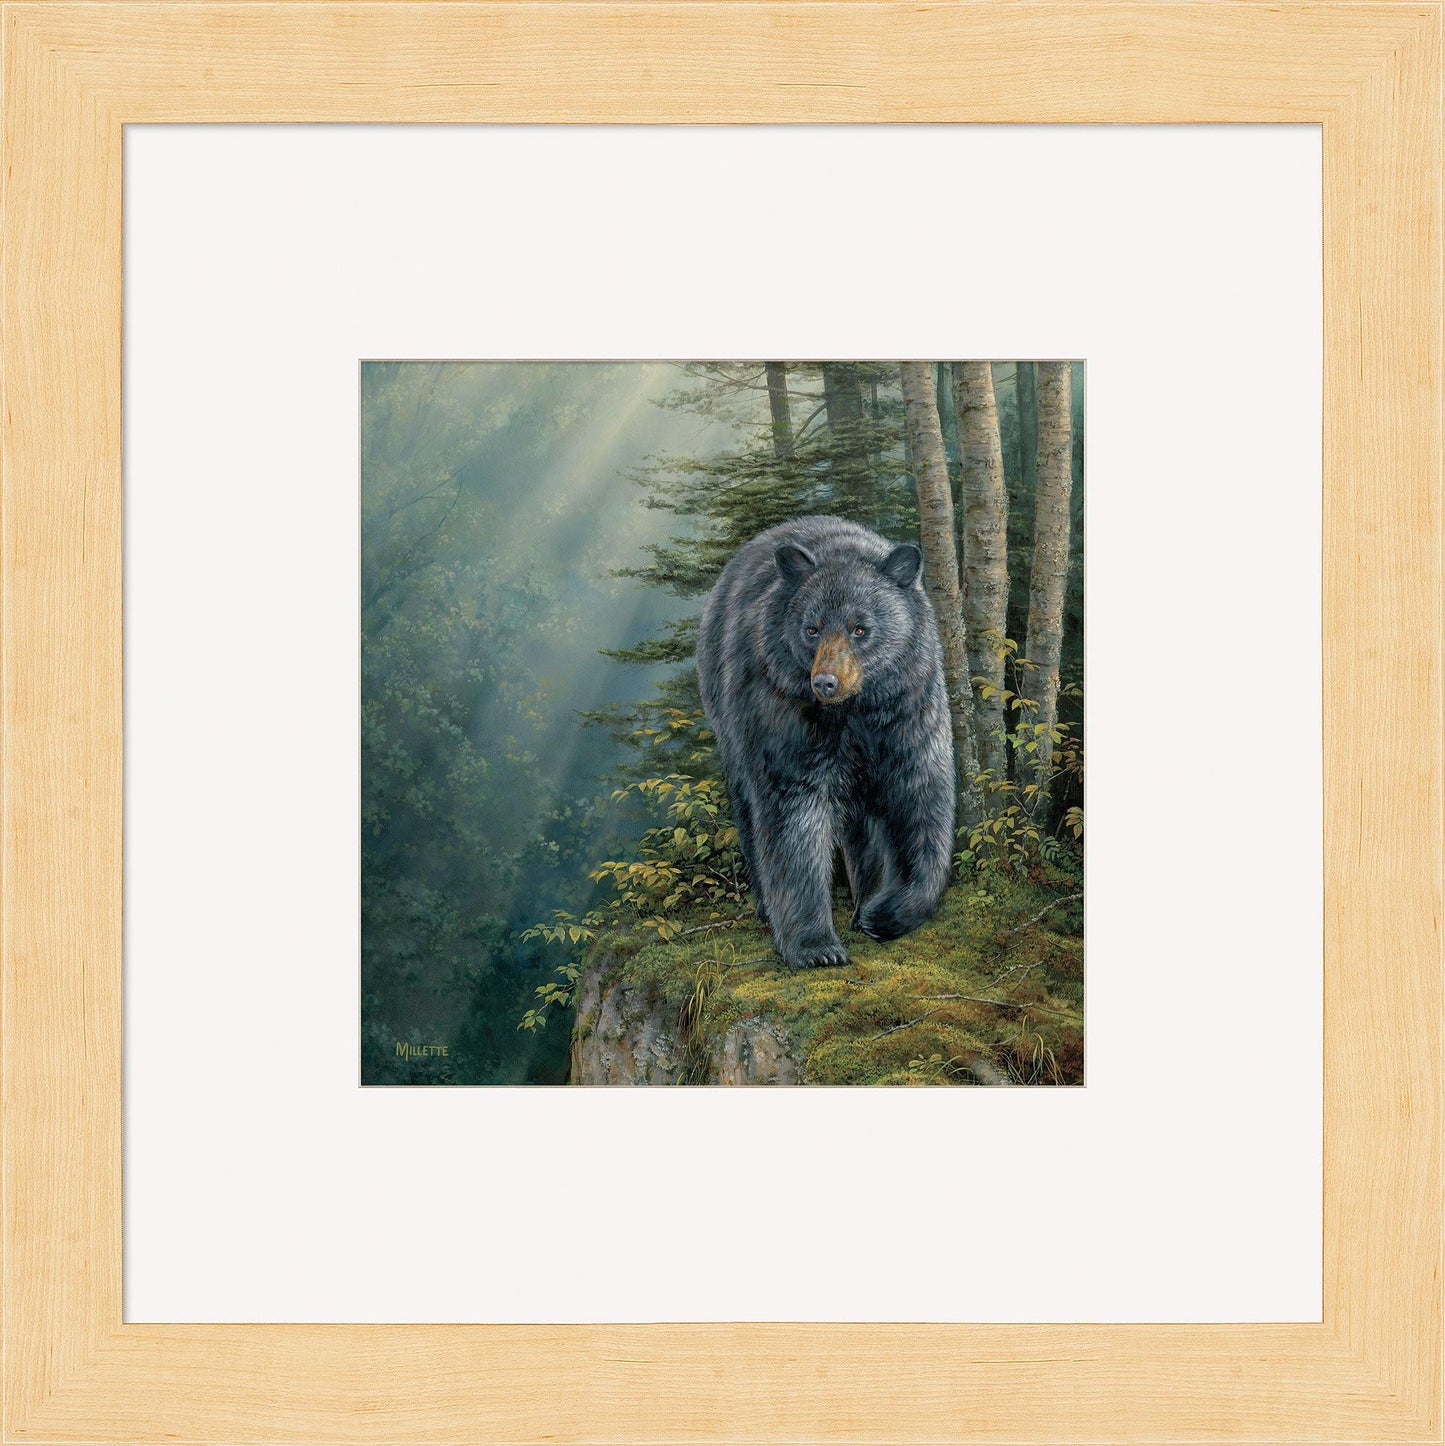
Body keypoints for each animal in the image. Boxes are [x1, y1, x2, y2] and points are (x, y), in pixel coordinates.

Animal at [696, 515, 956, 970]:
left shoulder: (908, 712)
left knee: (862, 826)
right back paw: (765, 905)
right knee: (747, 809)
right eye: (811, 628)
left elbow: (922, 802)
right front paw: (816, 947)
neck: (853, 714)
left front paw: (884, 914)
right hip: (729, 724)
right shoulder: (783, 716)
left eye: (861, 628)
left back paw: (862, 898)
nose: (825, 683)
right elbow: (793, 817)